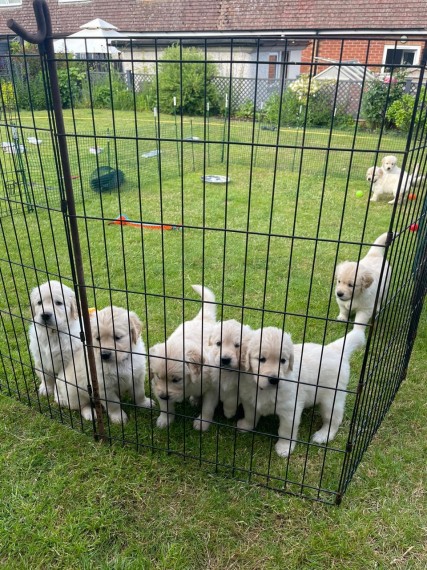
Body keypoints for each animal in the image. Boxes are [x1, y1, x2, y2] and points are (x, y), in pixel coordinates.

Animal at [150, 284, 217, 430]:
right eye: (158, 376)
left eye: (176, 380)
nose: (163, 396)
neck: (188, 384)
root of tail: (202, 319)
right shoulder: (157, 386)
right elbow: (165, 407)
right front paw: (165, 419)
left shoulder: (212, 388)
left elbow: (208, 408)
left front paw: (202, 423)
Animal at [237, 326, 364, 454]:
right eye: (261, 359)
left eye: (283, 360)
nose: (274, 379)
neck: (262, 389)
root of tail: (335, 349)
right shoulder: (249, 401)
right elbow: (250, 416)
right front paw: (246, 426)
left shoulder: (290, 410)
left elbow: (286, 431)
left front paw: (284, 447)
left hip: (332, 399)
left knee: (334, 419)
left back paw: (323, 435)